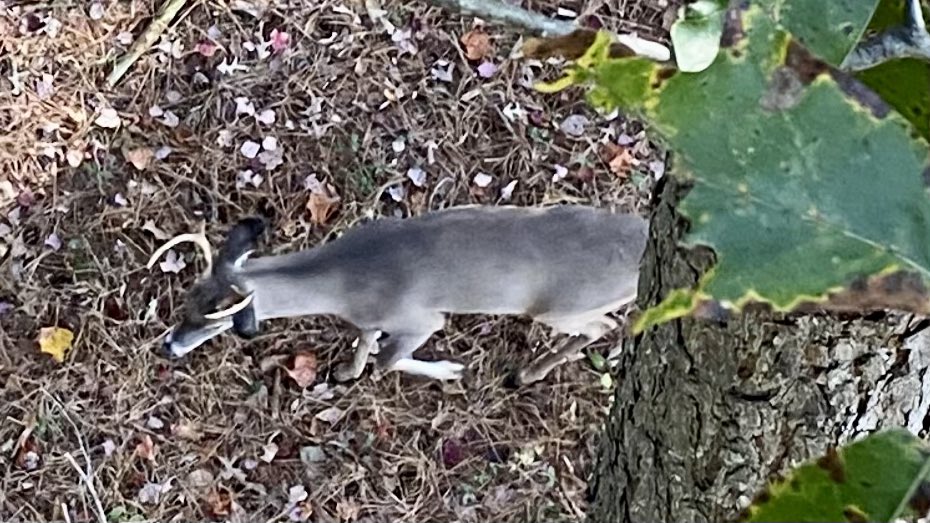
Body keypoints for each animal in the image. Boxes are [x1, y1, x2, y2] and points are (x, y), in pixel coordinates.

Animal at [146, 204, 648, 385]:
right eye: (188, 299)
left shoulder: (420, 318)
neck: (346, 278)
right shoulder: (374, 317)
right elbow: (367, 342)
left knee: (601, 324)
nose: (169, 346)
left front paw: (449, 370)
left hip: (560, 307)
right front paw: (346, 371)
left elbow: (389, 360)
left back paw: (527, 374)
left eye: (214, 319)